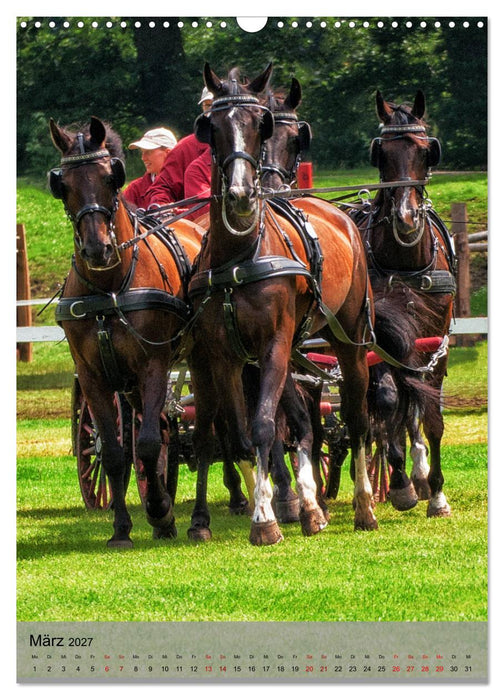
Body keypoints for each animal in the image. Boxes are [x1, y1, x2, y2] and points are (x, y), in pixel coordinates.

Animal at [49, 116, 207, 547]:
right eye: (63, 184)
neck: (110, 287)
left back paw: (202, 518)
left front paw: (159, 511)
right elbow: (116, 451)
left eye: (110, 176)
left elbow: (148, 444)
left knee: (209, 432)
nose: (97, 249)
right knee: (166, 428)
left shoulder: (153, 365)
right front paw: (124, 527)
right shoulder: (94, 377)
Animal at [185, 63, 409, 545]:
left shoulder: (273, 344)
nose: (241, 194)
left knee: (356, 417)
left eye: (260, 125)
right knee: (303, 425)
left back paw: (364, 507)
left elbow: (264, 426)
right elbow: (241, 435)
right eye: (213, 127)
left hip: (349, 341)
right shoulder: (226, 356)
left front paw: (266, 520)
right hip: (288, 355)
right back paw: (309, 507)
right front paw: (269, 510)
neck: (241, 255)